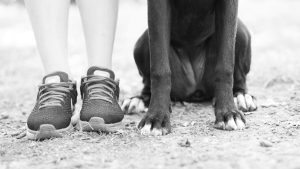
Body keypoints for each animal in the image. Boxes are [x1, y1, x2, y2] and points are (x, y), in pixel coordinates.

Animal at [120, 0, 256, 135]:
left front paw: (229, 113)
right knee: (148, 84)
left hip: (240, 32)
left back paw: (241, 96)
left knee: (239, 79)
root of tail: (194, 89)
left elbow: (225, 65)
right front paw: (156, 117)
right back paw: (138, 100)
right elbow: (159, 69)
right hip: (142, 42)